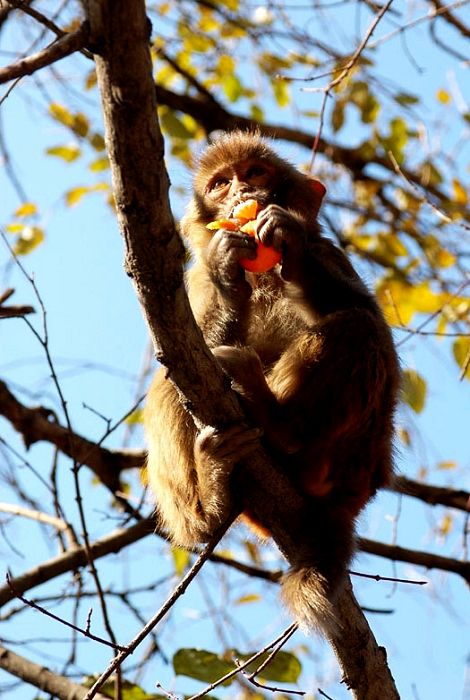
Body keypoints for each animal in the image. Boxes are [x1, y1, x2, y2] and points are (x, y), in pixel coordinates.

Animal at [144, 130, 400, 636]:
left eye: (255, 173)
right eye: (220, 184)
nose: (243, 193)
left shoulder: (329, 253)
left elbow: (370, 319)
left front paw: (290, 246)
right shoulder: (194, 281)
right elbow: (182, 354)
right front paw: (228, 279)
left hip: (356, 451)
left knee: (359, 326)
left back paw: (282, 426)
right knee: (167, 387)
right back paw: (209, 508)